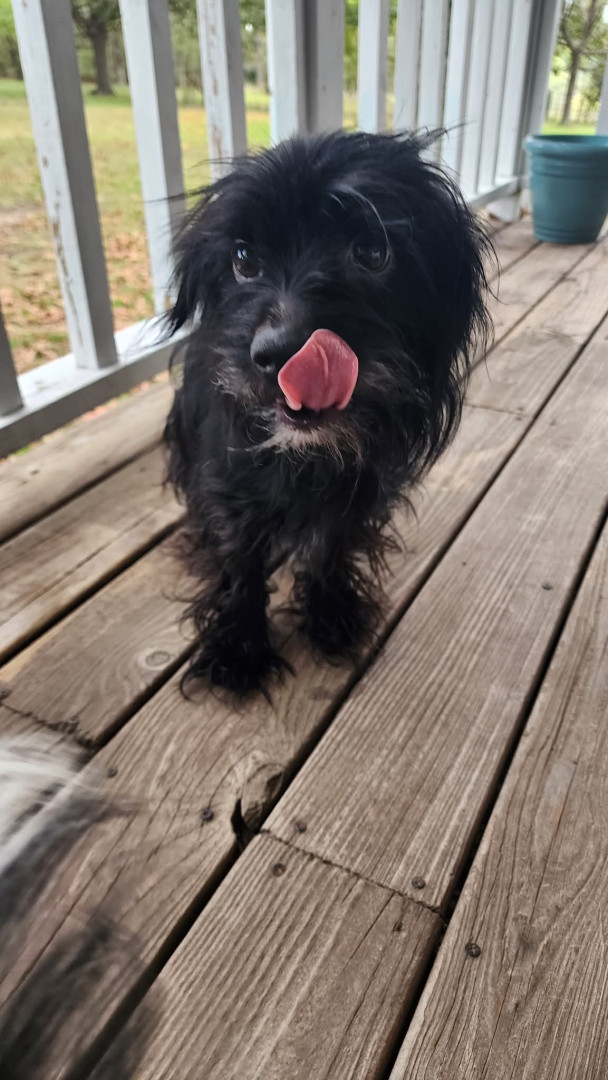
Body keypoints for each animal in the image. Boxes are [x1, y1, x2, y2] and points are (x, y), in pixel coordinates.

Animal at [165, 130, 492, 696]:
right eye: (243, 258)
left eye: (373, 251)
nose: (279, 355)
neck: (305, 455)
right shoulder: (228, 480)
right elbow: (238, 557)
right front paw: (237, 646)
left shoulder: (355, 490)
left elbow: (330, 546)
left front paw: (330, 612)